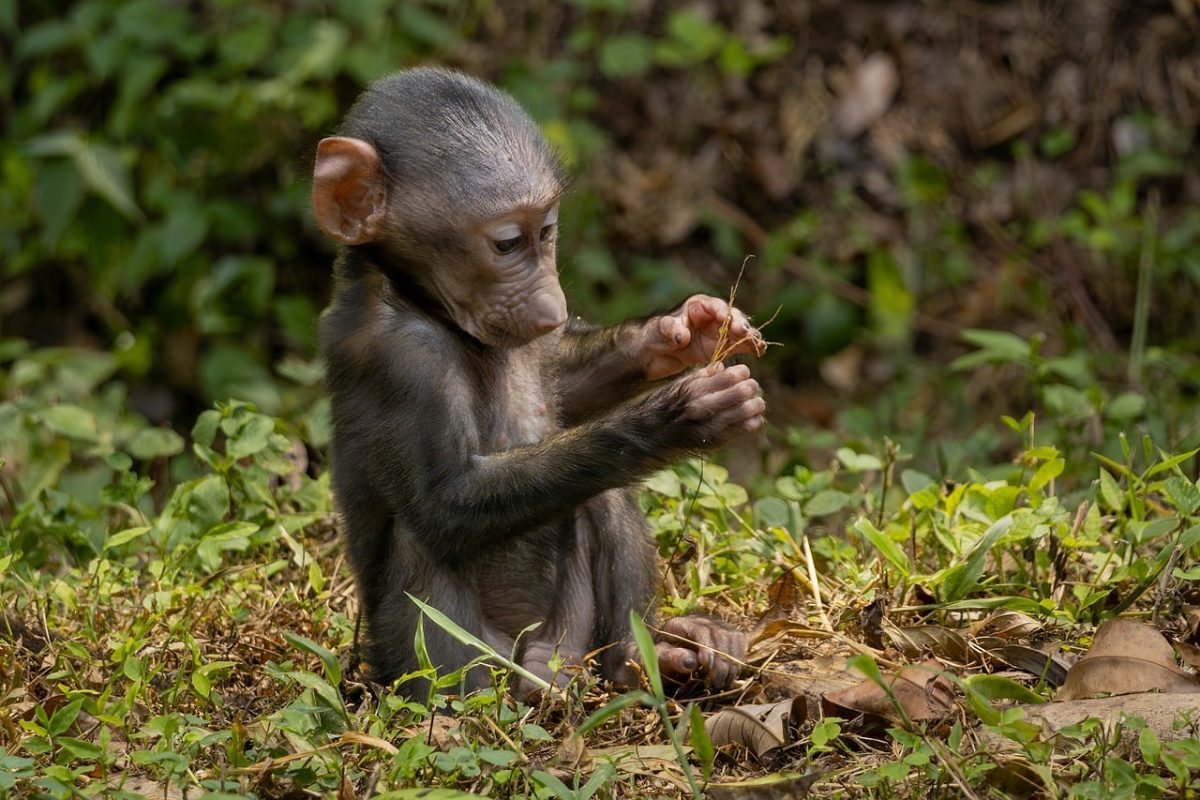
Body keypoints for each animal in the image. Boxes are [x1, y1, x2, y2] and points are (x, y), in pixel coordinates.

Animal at [312, 68, 765, 697]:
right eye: (507, 244)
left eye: (546, 232)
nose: (553, 305)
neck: (424, 302)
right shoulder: (400, 356)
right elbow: (445, 502)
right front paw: (679, 416)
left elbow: (563, 392)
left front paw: (685, 331)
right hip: (441, 661)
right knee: (422, 547)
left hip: (574, 630)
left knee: (601, 493)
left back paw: (644, 653)